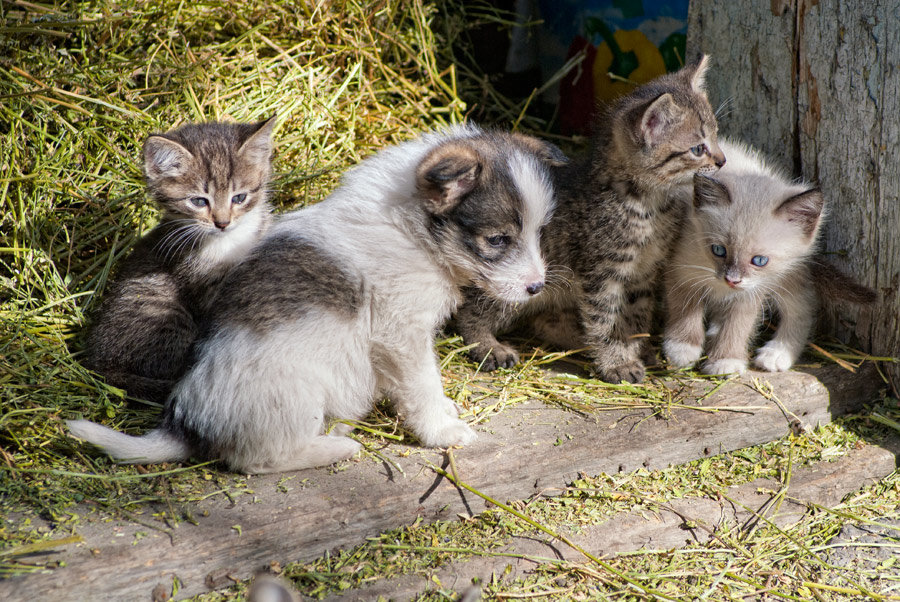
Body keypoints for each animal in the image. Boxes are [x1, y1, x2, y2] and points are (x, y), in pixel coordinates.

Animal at [85, 115, 276, 400]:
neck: (229, 242)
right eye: (199, 201)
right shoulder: (202, 286)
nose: (222, 223)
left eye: (239, 197)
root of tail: (98, 363)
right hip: (162, 311)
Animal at [458, 57, 724, 384]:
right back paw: (487, 345)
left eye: (716, 135)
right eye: (698, 148)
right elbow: (604, 320)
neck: (649, 206)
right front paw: (616, 362)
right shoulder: (601, 276)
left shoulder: (643, 274)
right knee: (470, 311)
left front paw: (636, 350)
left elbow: (636, 318)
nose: (722, 160)